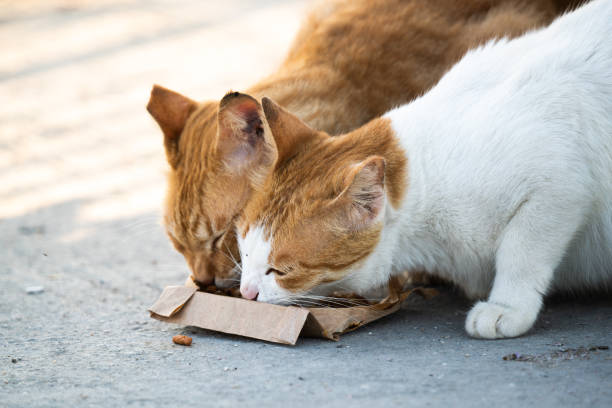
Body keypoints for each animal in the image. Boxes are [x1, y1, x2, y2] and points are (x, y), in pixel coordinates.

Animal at [238, 0, 612, 338]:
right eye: (244, 249)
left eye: (281, 270)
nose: (245, 293)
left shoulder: (559, 180)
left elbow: (521, 251)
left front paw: (507, 306)